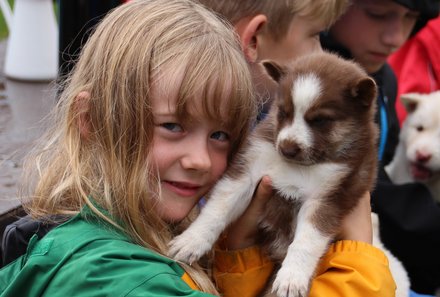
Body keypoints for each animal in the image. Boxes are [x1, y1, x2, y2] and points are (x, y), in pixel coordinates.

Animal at [168, 51, 378, 296]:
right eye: (283, 112)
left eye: (320, 120)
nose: (287, 148)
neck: (300, 166)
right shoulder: (248, 168)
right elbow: (218, 208)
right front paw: (191, 240)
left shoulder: (330, 196)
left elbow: (306, 241)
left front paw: (291, 278)